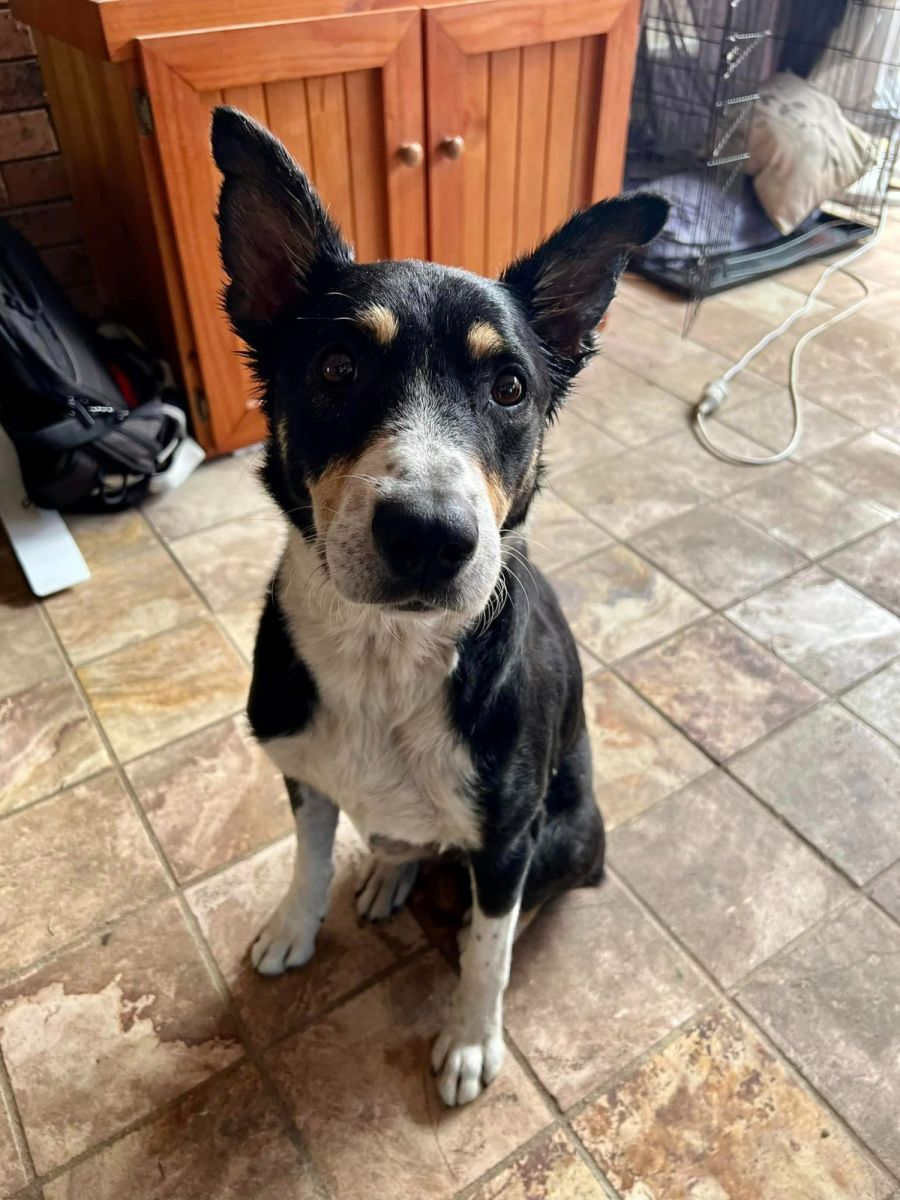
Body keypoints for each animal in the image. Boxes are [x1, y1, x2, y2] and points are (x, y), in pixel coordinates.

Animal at [211, 107, 668, 1108]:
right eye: (337, 366)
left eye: (511, 388)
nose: (427, 534)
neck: (388, 654)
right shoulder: (302, 773)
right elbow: (307, 857)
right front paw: (294, 927)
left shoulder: (505, 837)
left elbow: (490, 951)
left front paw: (466, 1041)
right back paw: (389, 874)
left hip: (570, 831)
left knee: (522, 905)